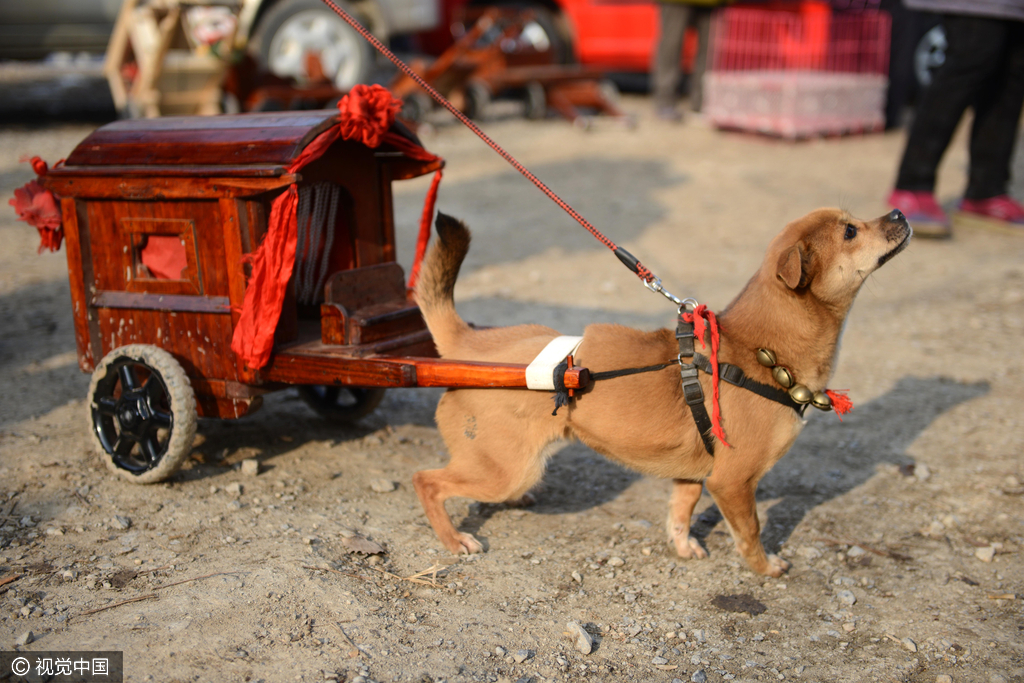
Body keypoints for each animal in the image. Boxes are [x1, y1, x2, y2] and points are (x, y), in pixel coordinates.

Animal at [411, 208, 909, 577]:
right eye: (850, 231)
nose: (899, 214)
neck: (758, 350)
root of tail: (471, 343)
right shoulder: (733, 483)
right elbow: (751, 533)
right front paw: (766, 568)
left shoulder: (694, 476)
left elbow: (681, 512)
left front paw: (683, 546)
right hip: (507, 471)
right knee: (428, 481)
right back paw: (452, 538)